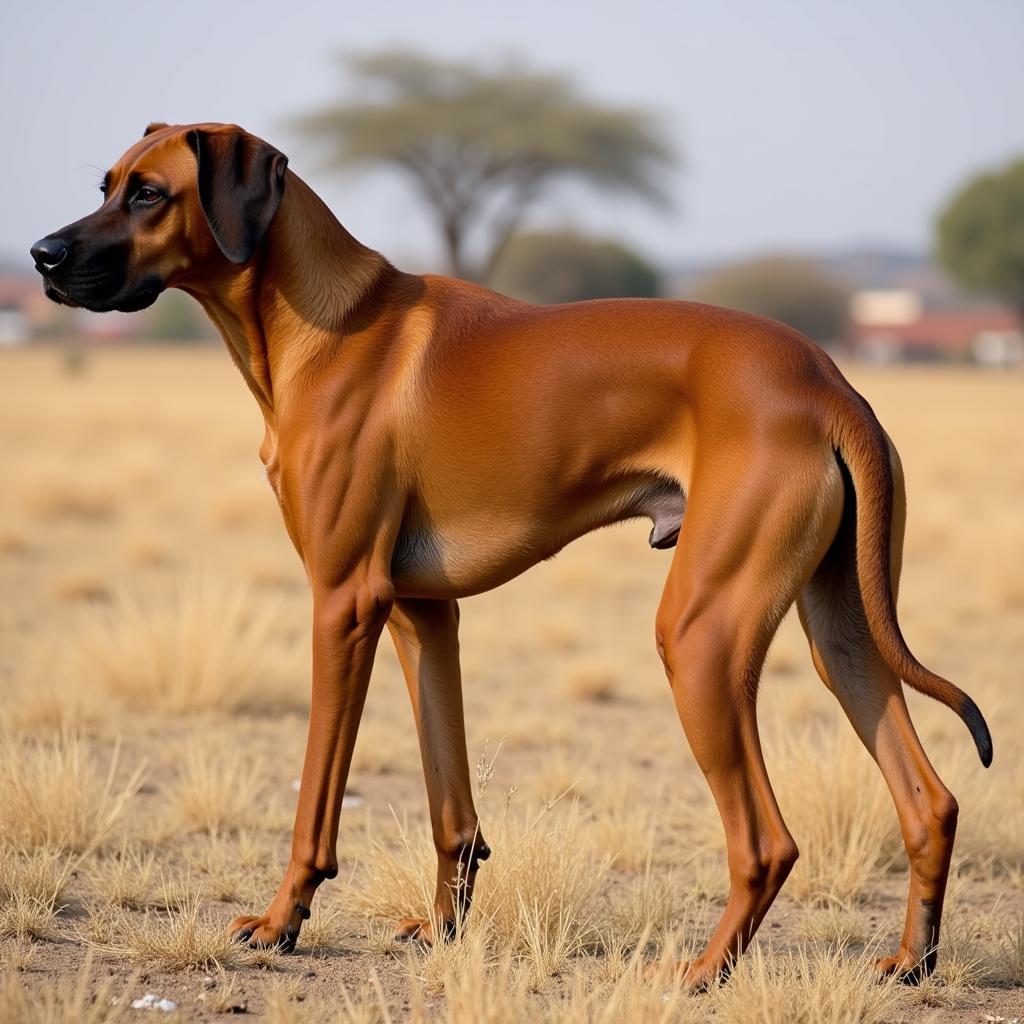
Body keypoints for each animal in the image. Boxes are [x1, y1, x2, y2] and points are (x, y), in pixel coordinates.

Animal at [32, 123, 991, 987]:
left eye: (148, 195)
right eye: (107, 182)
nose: (41, 255)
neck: (325, 324)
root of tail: (829, 384)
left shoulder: (342, 603)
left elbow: (315, 799)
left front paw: (280, 923)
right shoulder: (422, 614)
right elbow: (448, 803)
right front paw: (444, 929)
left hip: (701, 637)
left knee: (766, 840)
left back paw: (703, 970)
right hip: (842, 636)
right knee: (928, 801)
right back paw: (911, 962)